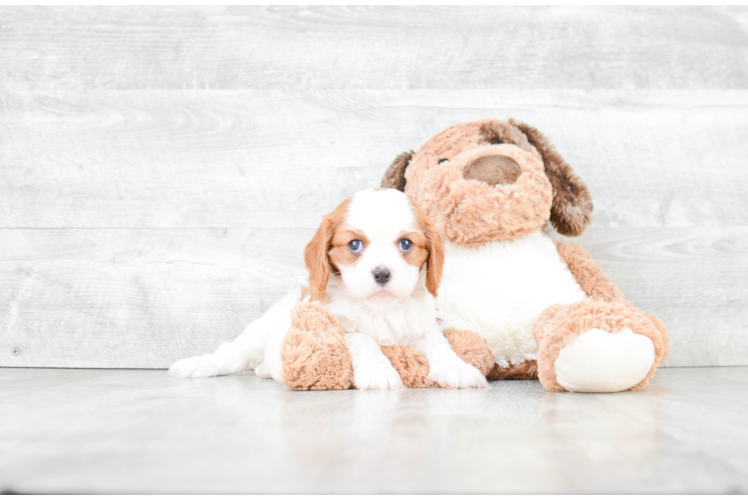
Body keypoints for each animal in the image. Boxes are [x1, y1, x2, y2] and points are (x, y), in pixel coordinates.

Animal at [169, 188, 488, 390]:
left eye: (406, 244)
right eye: (354, 244)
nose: (382, 273)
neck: (379, 307)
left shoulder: (421, 328)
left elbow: (438, 343)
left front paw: (457, 368)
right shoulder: (335, 325)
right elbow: (363, 339)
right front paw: (379, 372)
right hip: (260, 332)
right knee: (232, 353)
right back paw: (195, 365)